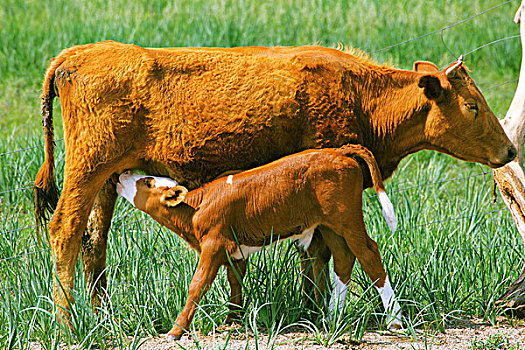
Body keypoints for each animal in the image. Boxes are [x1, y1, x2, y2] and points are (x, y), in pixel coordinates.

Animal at [115, 145, 402, 340]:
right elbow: (235, 282)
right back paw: (334, 317)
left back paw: (394, 320)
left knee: (369, 254)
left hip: (347, 219)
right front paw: (232, 320)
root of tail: (338, 150)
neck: (196, 208)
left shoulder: (213, 245)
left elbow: (197, 285)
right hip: (328, 225)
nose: (122, 173)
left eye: (147, 181)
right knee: (344, 258)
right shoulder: (234, 251)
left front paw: (176, 331)